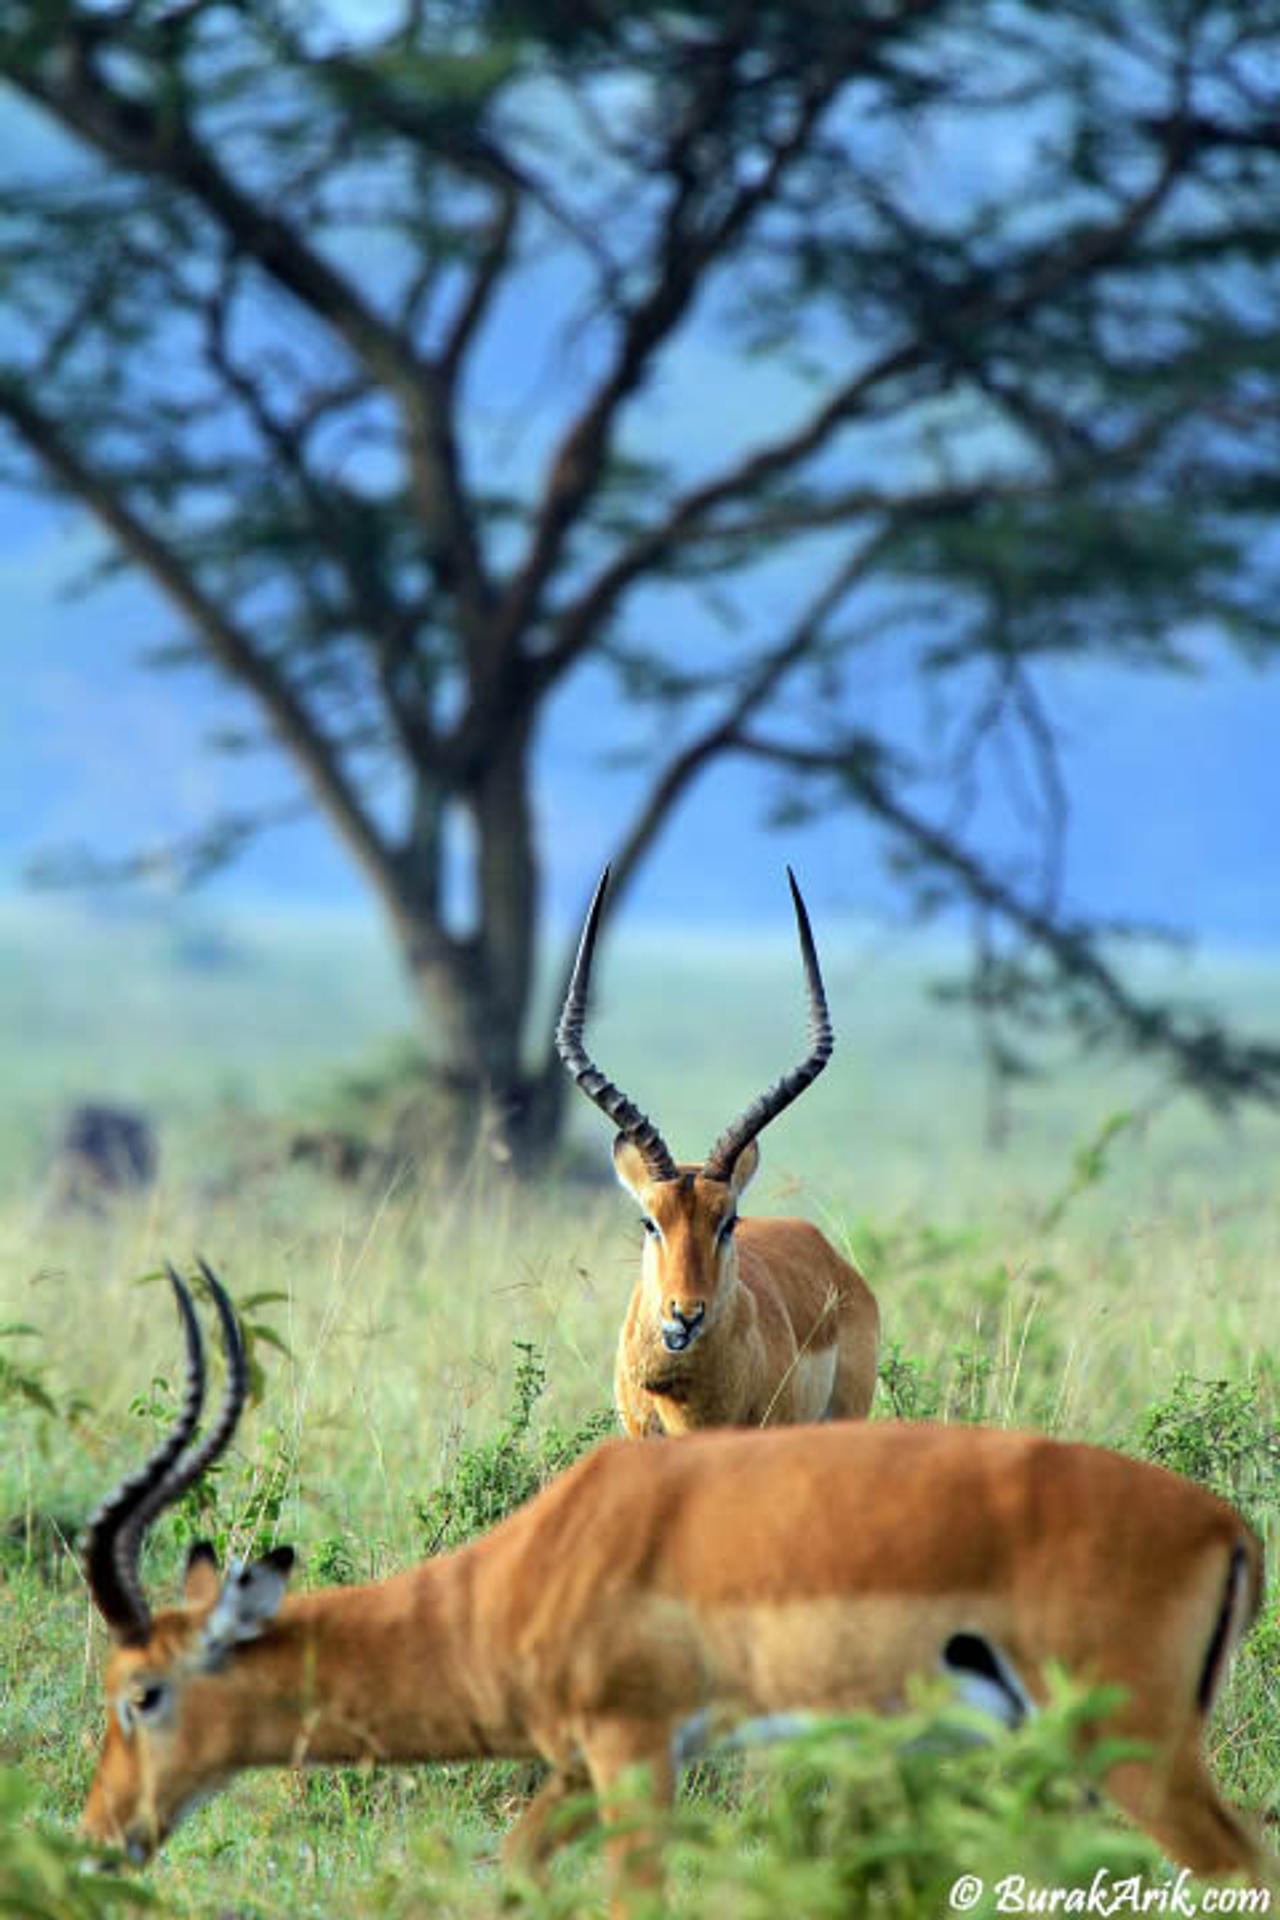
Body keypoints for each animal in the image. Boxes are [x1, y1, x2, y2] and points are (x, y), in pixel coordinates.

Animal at [83, 1267, 1269, 1914]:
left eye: (142, 1691)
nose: (101, 1835)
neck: (536, 1564)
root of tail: (1226, 1526)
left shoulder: (634, 1752)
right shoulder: (573, 1767)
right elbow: (511, 1870)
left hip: (1137, 1752)